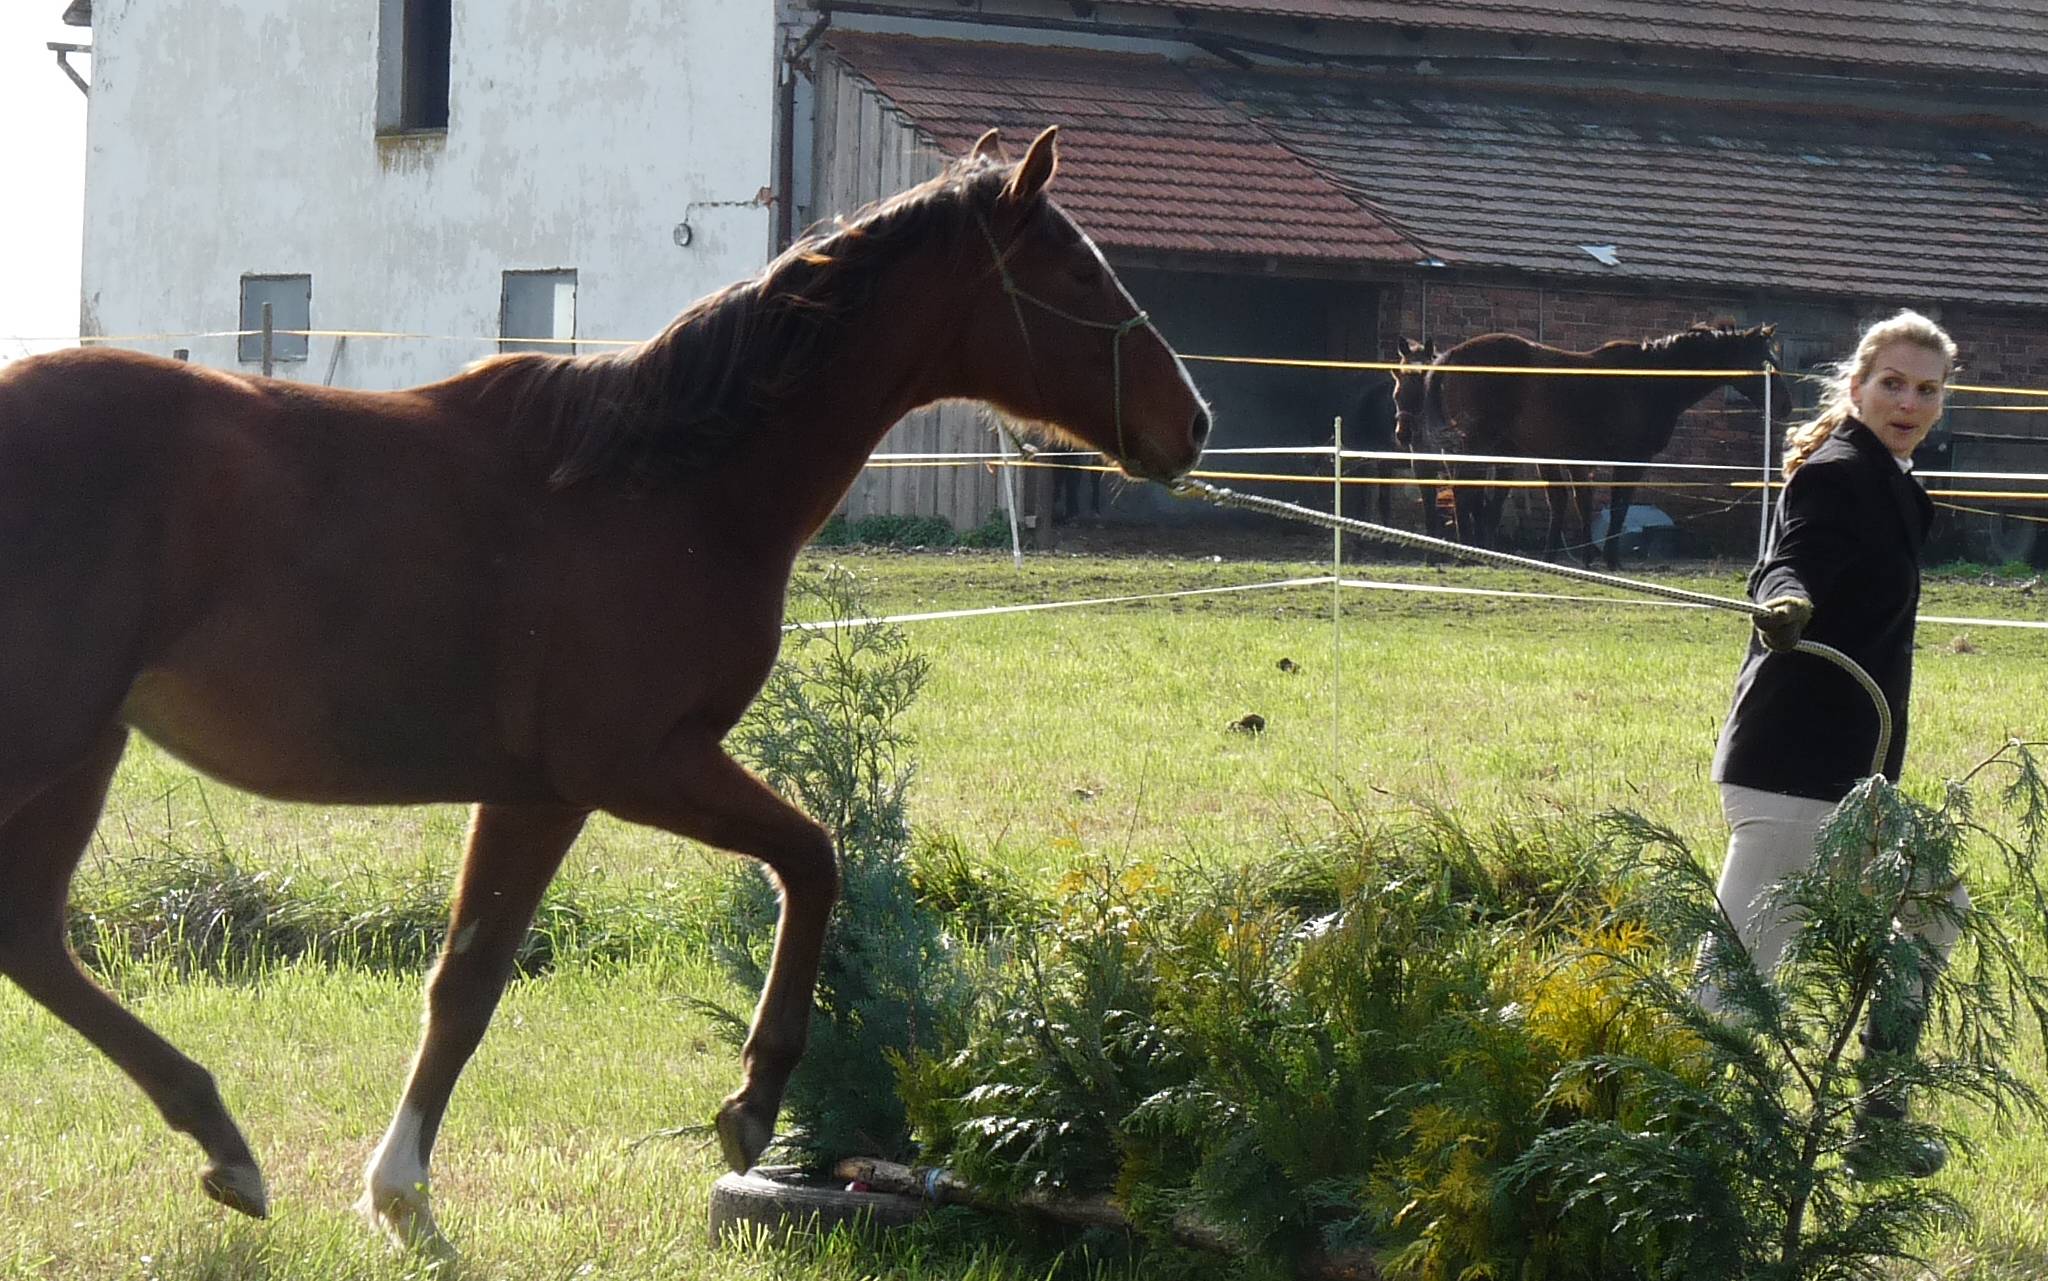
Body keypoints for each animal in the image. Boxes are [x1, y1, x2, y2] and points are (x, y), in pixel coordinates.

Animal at [0, 127, 1204, 1246]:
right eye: (1081, 274)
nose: (1190, 421)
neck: (667, 479)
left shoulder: (533, 793)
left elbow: (465, 987)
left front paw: (403, 1203)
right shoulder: (632, 766)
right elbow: (812, 858)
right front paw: (751, 1103)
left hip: (83, 750)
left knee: (32, 937)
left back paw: (224, 1146)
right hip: (51, 741)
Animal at [1417, 319, 1785, 565]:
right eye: (1766, 362)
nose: (1785, 404)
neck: (1650, 381)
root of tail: (1453, 354)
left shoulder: (1571, 458)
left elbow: (1578, 502)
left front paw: (1580, 556)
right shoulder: (1631, 460)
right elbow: (1618, 507)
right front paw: (1609, 558)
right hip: (1480, 443)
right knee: (1465, 490)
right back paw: (1469, 550)